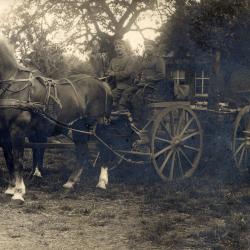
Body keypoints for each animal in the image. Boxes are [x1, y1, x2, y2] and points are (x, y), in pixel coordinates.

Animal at [0, 37, 112, 201]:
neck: (12, 83)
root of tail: (102, 83)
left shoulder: (17, 130)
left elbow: (18, 159)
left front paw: (19, 192)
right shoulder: (4, 132)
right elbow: (9, 160)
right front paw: (10, 188)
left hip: (98, 126)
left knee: (103, 149)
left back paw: (102, 182)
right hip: (79, 128)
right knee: (82, 152)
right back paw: (71, 182)